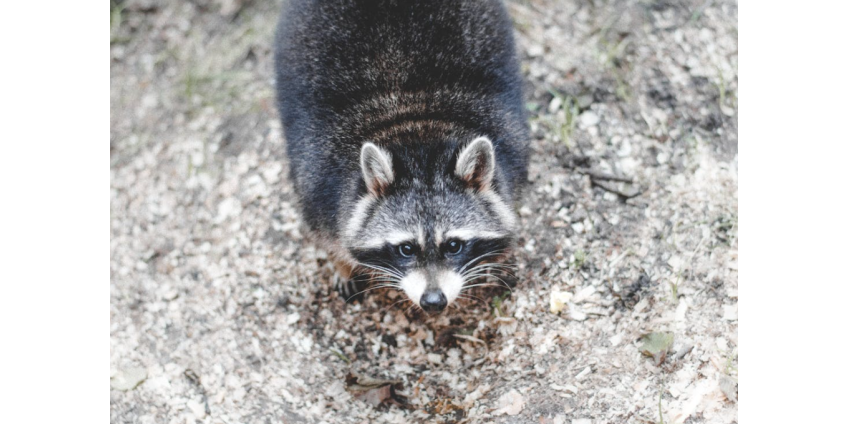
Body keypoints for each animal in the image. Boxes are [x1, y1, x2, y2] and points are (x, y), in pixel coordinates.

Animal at [276, 0, 528, 312]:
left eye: (453, 245)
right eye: (406, 248)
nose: (433, 301)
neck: (415, 127)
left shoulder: (511, 149)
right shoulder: (318, 180)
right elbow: (327, 233)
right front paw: (341, 264)